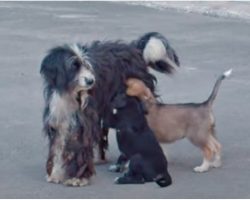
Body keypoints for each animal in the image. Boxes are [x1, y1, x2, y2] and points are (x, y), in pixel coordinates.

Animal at [40, 31, 179, 186]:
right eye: (74, 66)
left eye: (88, 66)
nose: (91, 81)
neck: (70, 93)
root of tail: (135, 49)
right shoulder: (60, 119)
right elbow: (58, 146)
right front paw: (56, 173)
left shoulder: (85, 121)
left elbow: (82, 147)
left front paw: (79, 177)